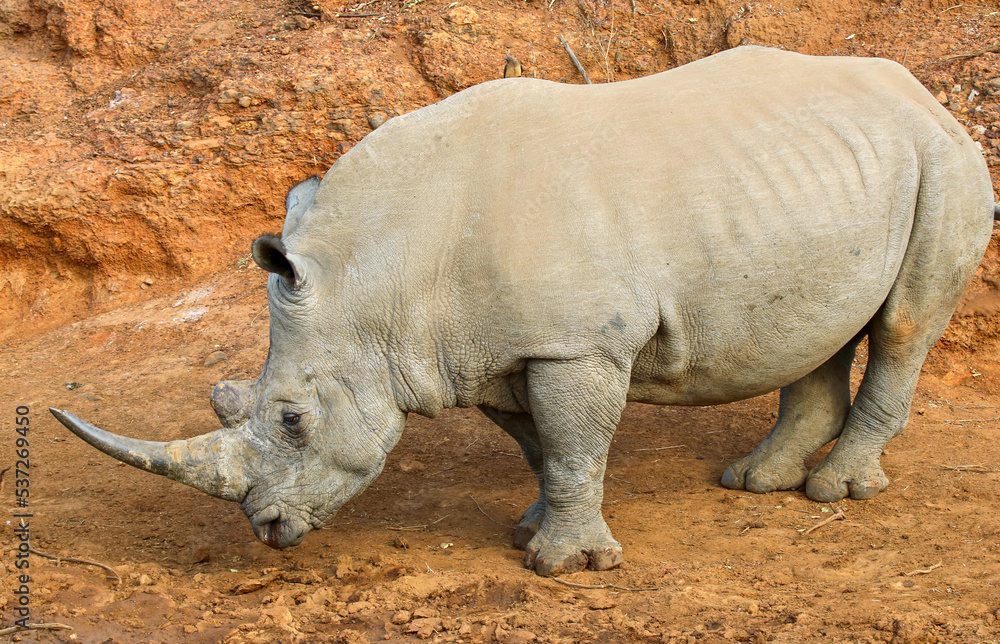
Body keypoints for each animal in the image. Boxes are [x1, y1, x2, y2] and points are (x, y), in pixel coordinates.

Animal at [52, 47, 997, 576]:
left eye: (290, 420)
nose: (269, 529)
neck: (381, 274)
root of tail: (921, 93)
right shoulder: (493, 351)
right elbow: (543, 446)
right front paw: (531, 531)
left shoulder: (575, 344)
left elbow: (575, 443)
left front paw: (568, 568)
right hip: (832, 171)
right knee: (821, 325)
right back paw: (758, 483)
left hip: (945, 160)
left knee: (904, 324)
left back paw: (835, 492)